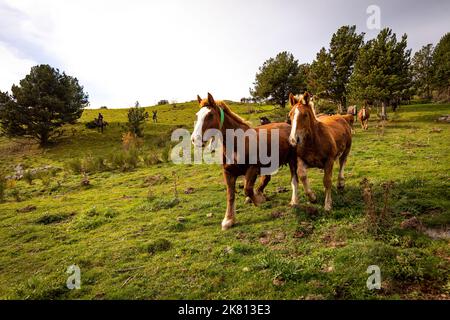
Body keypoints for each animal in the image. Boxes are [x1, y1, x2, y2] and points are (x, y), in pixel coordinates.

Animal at [191, 92, 298, 230]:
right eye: (197, 115)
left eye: (210, 115)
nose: (195, 139)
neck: (237, 143)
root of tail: (288, 124)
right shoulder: (228, 173)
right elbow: (230, 195)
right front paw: (228, 220)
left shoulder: (252, 169)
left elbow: (247, 189)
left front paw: (258, 201)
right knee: (266, 179)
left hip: (292, 160)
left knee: (294, 179)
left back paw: (294, 200)